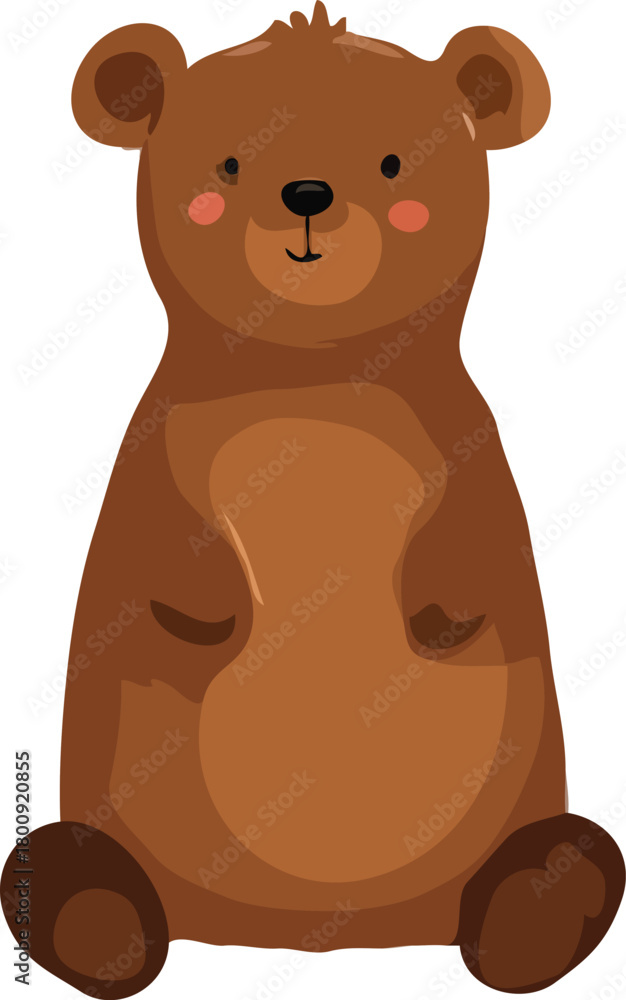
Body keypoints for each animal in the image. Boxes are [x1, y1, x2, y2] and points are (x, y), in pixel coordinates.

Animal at [2, 3, 624, 996]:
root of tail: (324, 939)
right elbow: (162, 542)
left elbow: (475, 545)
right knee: (58, 866)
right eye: (227, 163)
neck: (313, 375)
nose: (306, 191)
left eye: (394, 162)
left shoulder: (463, 449)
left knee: (570, 854)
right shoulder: (162, 452)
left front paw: (438, 617)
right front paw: (214, 612)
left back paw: (532, 914)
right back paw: (103, 923)